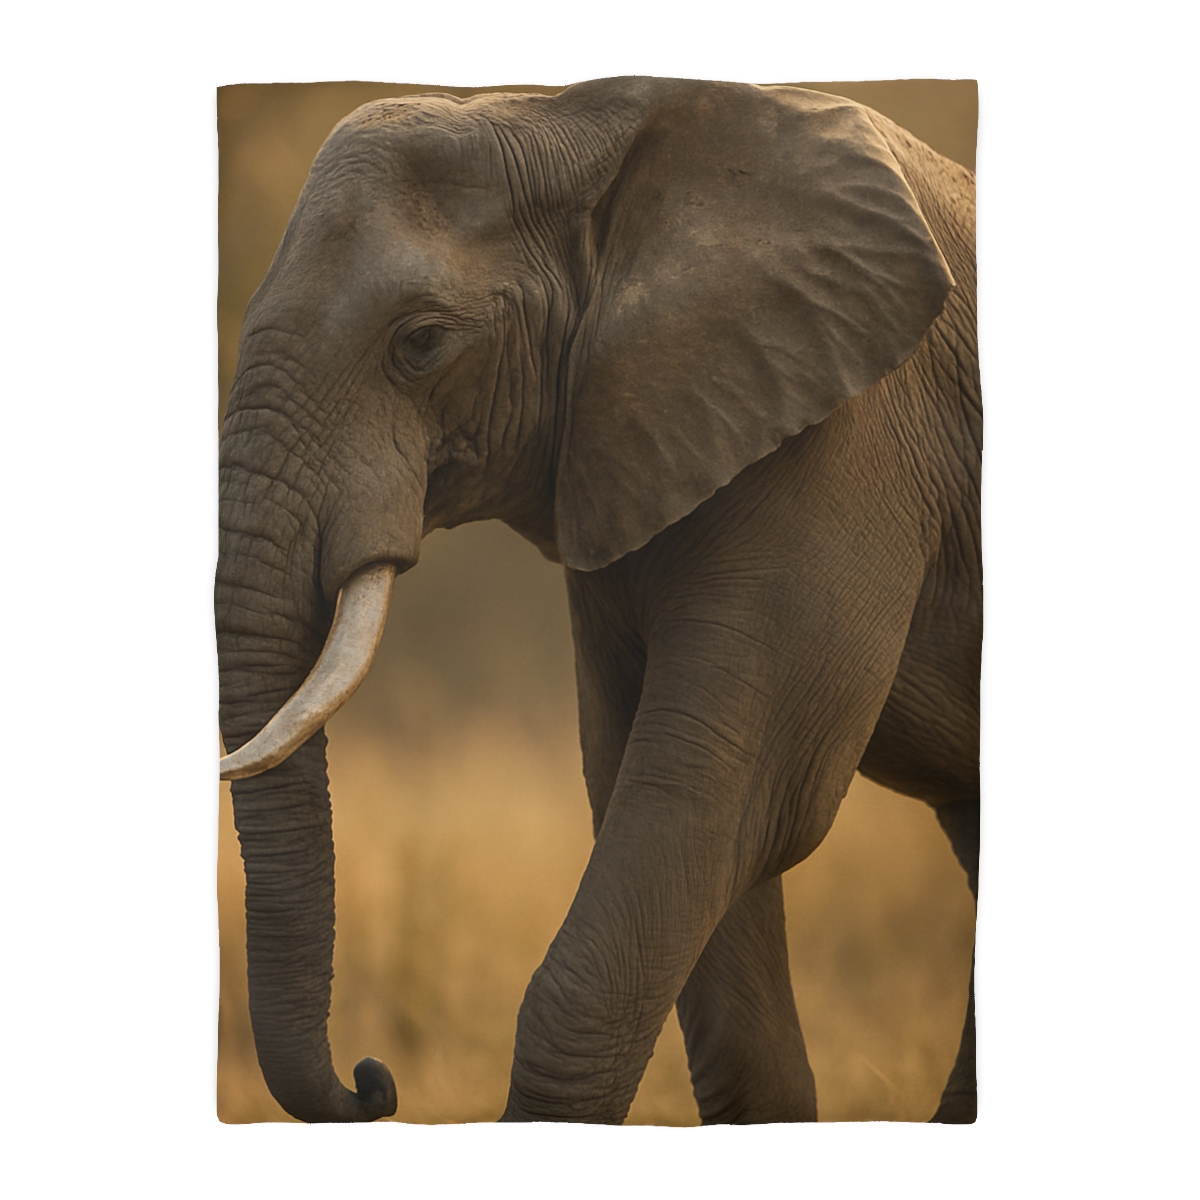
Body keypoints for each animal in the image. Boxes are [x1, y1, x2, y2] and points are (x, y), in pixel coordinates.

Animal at [217, 76, 980, 1125]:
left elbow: (729, 790)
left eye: (421, 343)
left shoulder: (849, 440)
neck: (570, 117)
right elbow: (649, 790)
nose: (374, 1081)